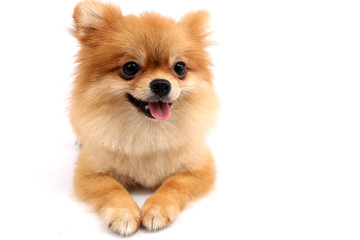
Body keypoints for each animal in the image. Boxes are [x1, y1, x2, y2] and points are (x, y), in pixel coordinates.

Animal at [69, 0, 218, 236]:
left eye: (180, 68)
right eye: (130, 68)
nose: (161, 84)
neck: (148, 130)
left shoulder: (200, 168)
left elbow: (174, 184)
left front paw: (157, 208)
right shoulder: (89, 173)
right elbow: (111, 189)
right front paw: (123, 213)